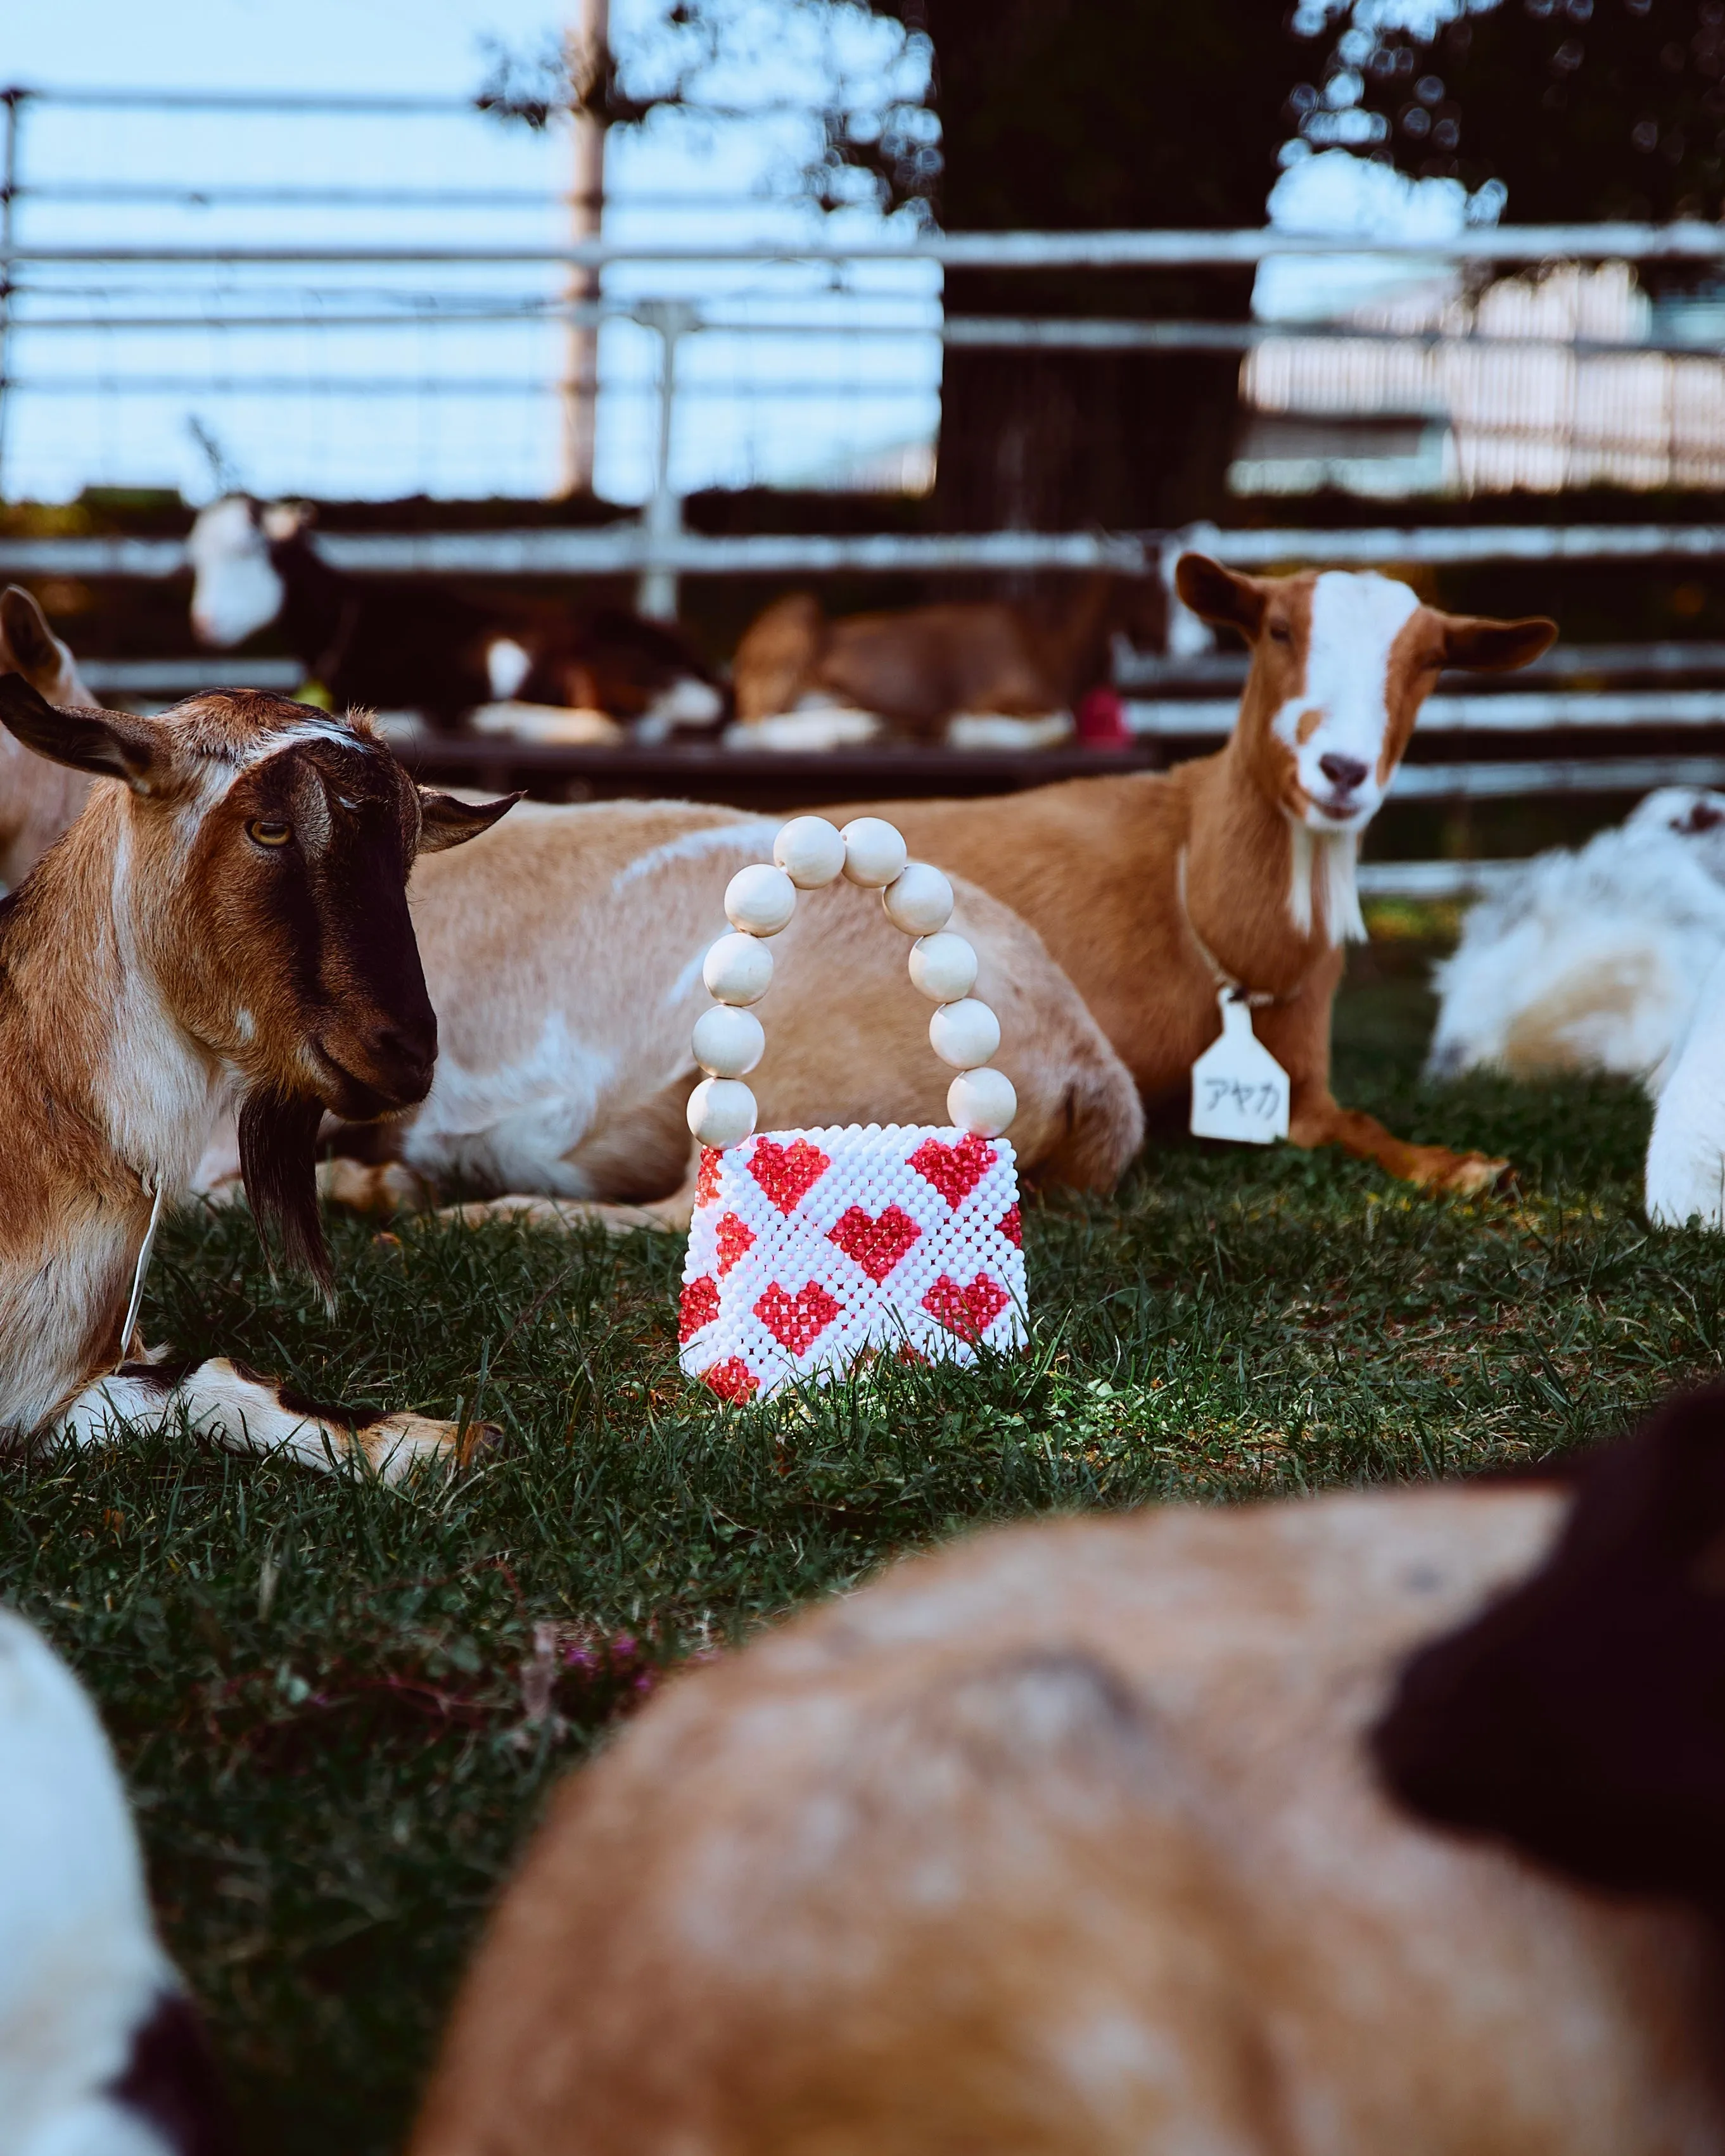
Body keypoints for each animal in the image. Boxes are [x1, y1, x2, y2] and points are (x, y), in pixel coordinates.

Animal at [0, 673, 513, 1483]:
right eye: (268, 828)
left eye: (405, 852)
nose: (406, 1052)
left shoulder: (57, 1384)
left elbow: (209, 1381)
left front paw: (441, 1440)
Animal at [841, 556, 1561, 1198]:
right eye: (1277, 630)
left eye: (1430, 658)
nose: (1342, 770)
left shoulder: (1303, 1088)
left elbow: (1358, 1122)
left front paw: (1463, 1167)